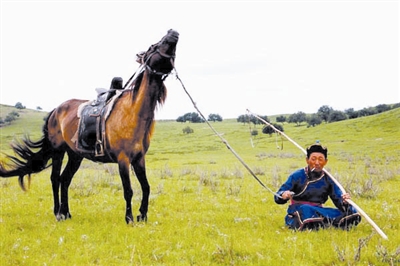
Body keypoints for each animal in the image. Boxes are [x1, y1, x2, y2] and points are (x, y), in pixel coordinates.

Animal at [0, 29, 179, 223]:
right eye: (153, 45)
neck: (133, 114)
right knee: (55, 178)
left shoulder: (139, 159)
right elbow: (128, 190)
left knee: (65, 179)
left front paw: (142, 216)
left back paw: (67, 213)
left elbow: (146, 187)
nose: (173, 32)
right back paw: (58, 213)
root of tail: (55, 111)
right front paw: (130, 218)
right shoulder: (123, 159)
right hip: (58, 151)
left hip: (75, 155)